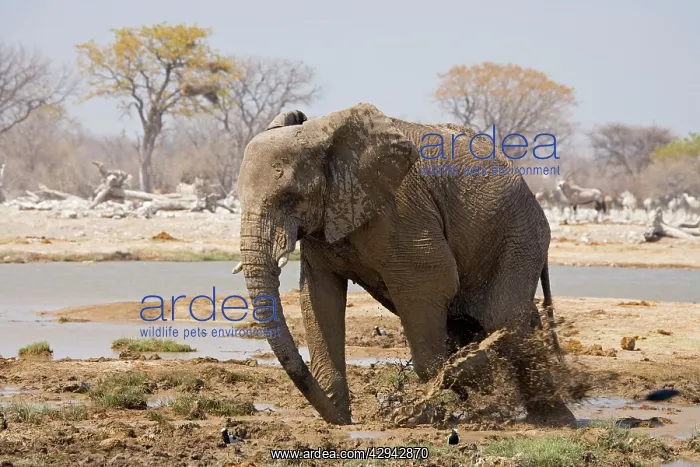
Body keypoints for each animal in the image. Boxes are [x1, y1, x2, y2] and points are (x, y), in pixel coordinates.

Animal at [233, 102, 576, 427]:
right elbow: (319, 297)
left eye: (291, 197)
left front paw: (437, 402)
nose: (346, 421)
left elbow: (428, 283)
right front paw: (340, 417)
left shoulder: (401, 209)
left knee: (503, 317)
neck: (322, 133)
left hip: (518, 235)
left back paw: (547, 416)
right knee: (497, 321)